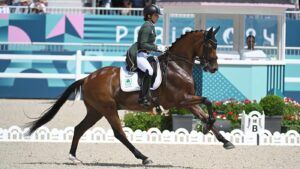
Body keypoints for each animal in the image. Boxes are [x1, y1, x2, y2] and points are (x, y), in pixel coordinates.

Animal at [26, 26, 234, 165]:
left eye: (216, 45)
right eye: (210, 45)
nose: (214, 68)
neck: (178, 66)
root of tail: (87, 78)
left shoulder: (189, 101)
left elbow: (205, 113)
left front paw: (225, 141)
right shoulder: (180, 100)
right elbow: (208, 102)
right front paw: (208, 128)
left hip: (96, 111)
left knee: (79, 129)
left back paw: (73, 157)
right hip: (108, 109)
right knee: (119, 134)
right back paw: (144, 158)